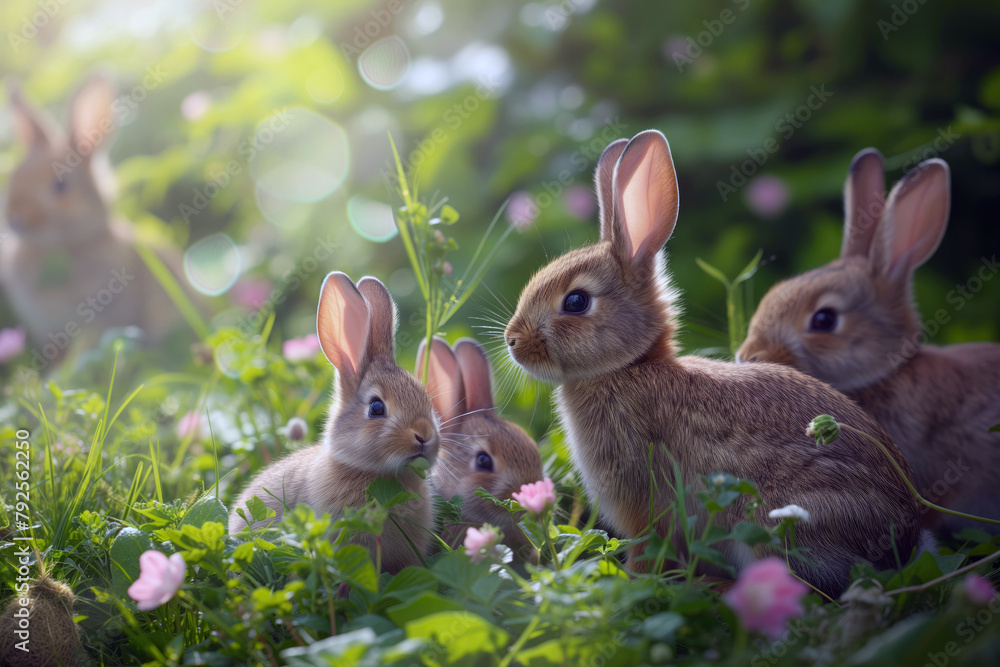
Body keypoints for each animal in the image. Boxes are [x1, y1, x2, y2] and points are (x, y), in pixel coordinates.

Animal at [503, 130, 925, 597]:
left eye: (576, 302)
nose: (512, 341)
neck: (628, 368)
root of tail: (905, 540)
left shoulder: (643, 496)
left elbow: (647, 548)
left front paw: (631, 586)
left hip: (774, 519)